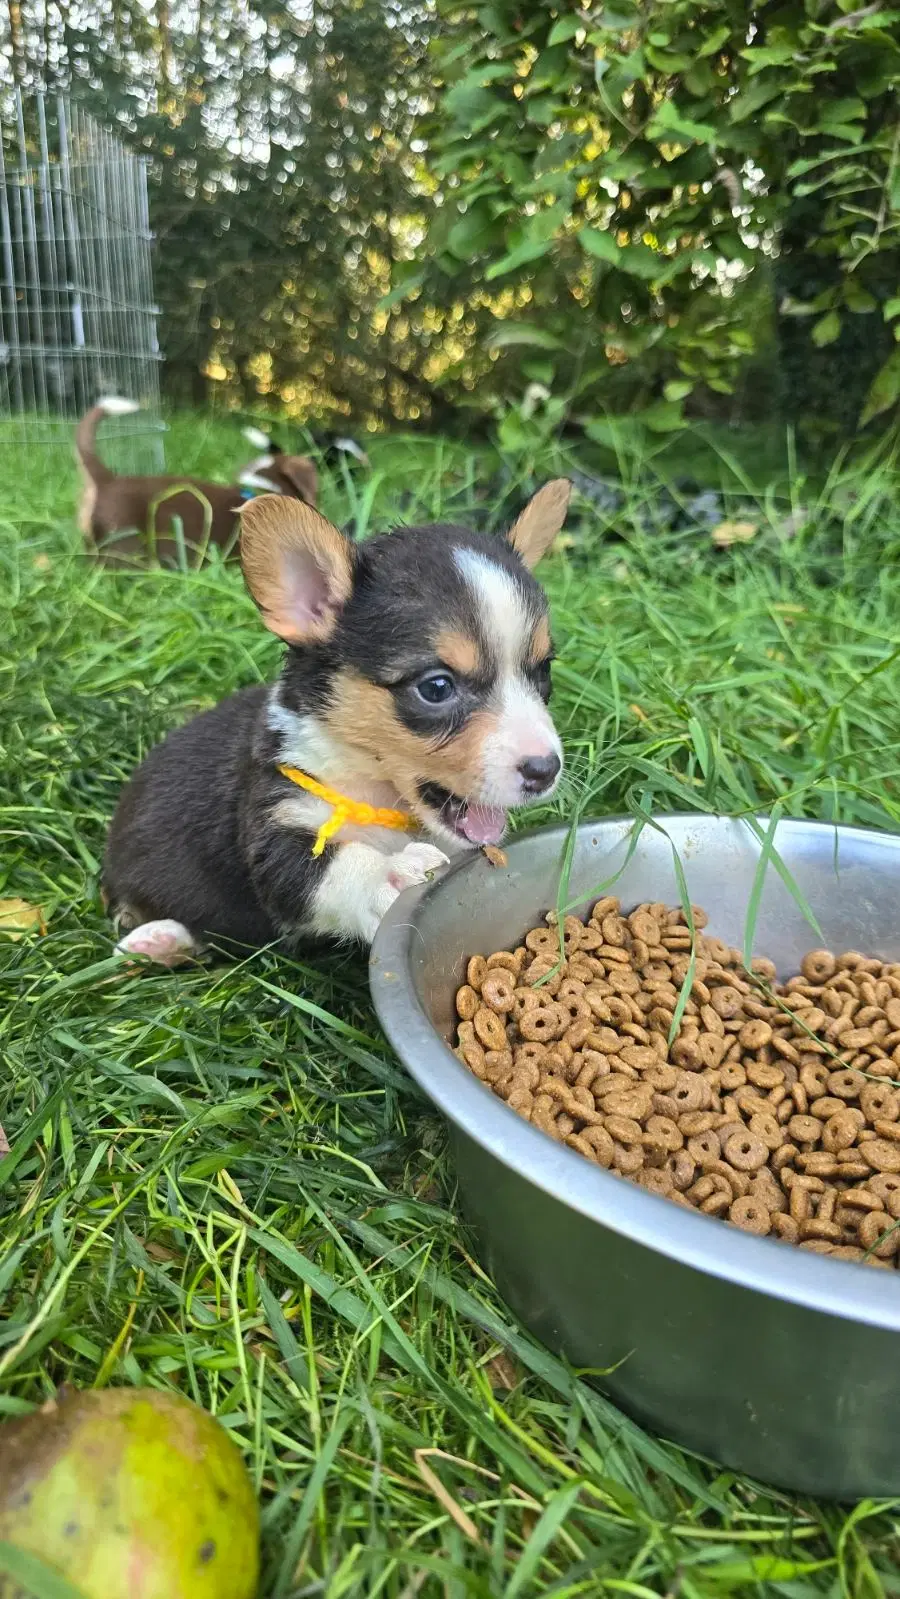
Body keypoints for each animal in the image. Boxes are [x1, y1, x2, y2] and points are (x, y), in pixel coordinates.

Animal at [105, 479, 569, 959]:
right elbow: (334, 864)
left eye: (542, 671)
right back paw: (157, 940)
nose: (545, 770)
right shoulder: (276, 826)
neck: (377, 796)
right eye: (437, 687)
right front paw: (391, 874)